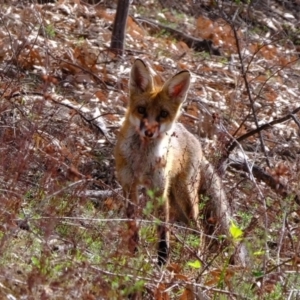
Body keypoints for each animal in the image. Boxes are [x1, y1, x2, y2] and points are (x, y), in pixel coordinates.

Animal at [114, 58, 232, 264]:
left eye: (163, 114)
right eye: (141, 110)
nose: (149, 132)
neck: (142, 162)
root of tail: (195, 141)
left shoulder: (159, 190)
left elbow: (163, 231)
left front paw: (162, 262)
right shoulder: (129, 186)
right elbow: (133, 227)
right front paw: (133, 255)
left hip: (185, 197)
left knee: (199, 230)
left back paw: (197, 260)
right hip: (176, 202)